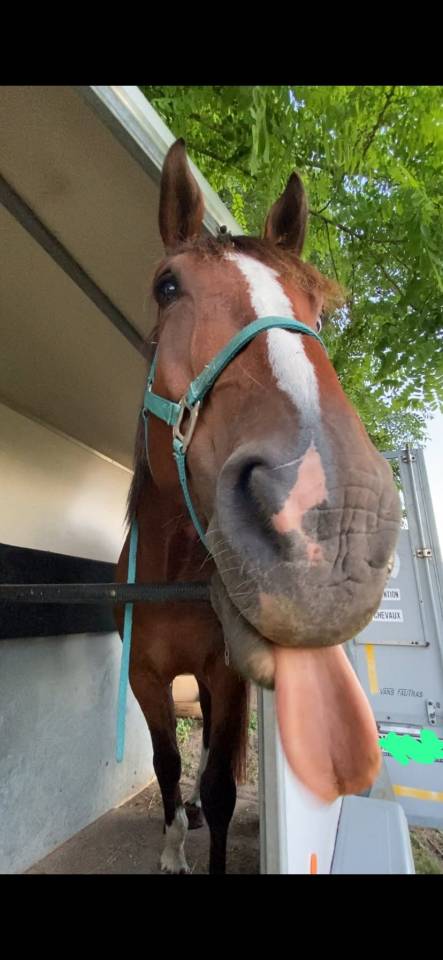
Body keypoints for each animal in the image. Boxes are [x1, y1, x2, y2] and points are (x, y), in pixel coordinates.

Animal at [115, 138, 401, 875]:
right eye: (166, 286)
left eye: (317, 308)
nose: (335, 514)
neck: (172, 576)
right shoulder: (146, 679)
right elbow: (165, 765)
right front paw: (172, 850)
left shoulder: (226, 676)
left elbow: (218, 785)